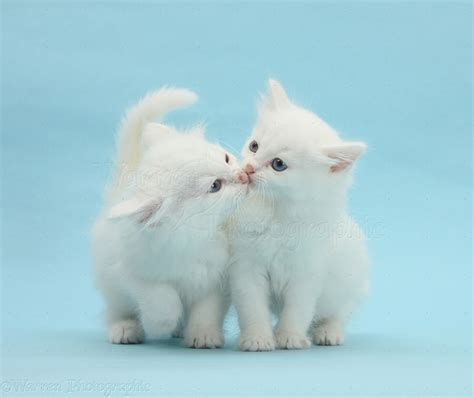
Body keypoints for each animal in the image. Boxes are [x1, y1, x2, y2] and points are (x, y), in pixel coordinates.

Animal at [92, 88, 248, 348]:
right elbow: (161, 298)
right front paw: (160, 324)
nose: (244, 175)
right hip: (109, 283)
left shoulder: (218, 279)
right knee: (116, 310)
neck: (198, 237)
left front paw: (203, 335)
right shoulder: (131, 269)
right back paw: (125, 329)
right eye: (215, 186)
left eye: (226, 158)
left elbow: (207, 309)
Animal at [230, 80, 370, 352]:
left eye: (278, 165)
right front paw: (258, 339)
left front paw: (290, 337)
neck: (276, 211)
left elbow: (298, 310)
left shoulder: (306, 274)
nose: (249, 168)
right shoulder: (246, 268)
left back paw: (329, 333)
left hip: (349, 279)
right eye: (254, 146)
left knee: (338, 312)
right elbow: (252, 309)